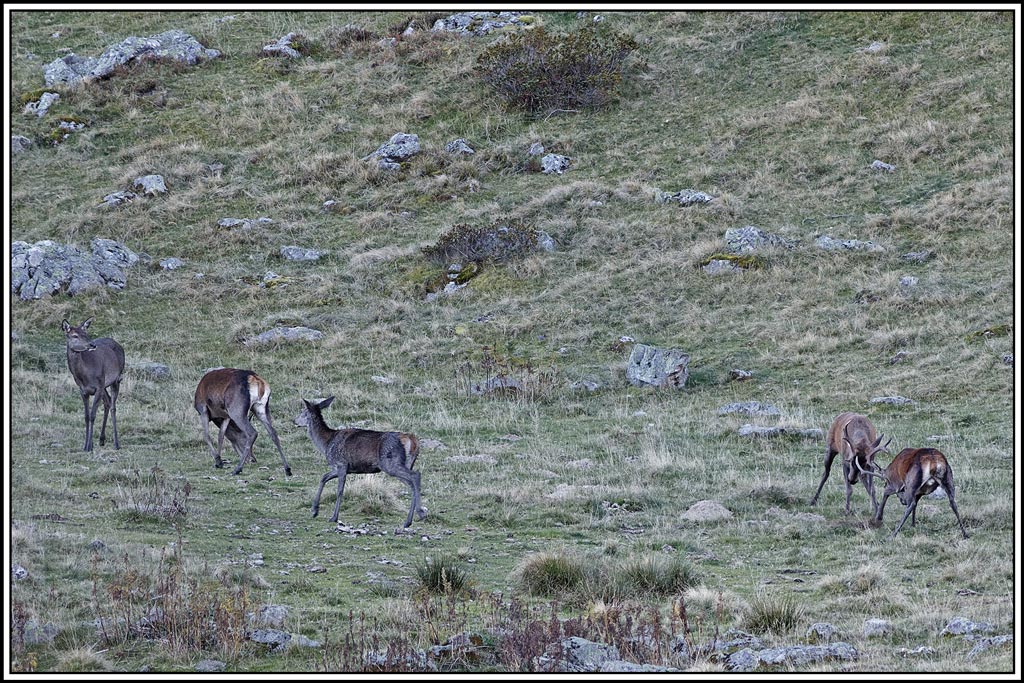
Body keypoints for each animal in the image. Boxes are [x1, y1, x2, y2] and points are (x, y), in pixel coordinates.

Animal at [62, 318, 125, 452]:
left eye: (86, 334)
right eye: (74, 335)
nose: (92, 345)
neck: (84, 376)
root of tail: (119, 345)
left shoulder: (98, 386)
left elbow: (92, 416)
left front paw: (89, 447)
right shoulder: (83, 390)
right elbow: (86, 416)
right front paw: (86, 445)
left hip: (115, 379)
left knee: (113, 406)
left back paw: (116, 444)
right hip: (105, 384)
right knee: (107, 402)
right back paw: (101, 439)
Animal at [293, 396, 426, 530]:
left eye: (303, 412)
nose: (294, 421)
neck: (326, 444)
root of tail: (412, 440)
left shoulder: (340, 464)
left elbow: (339, 491)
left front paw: (333, 517)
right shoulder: (342, 468)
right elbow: (323, 477)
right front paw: (314, 510)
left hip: (390, 462)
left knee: (415, 475)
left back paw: (420, 513)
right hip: (405, 463)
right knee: (411, 484)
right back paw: (408, 521)